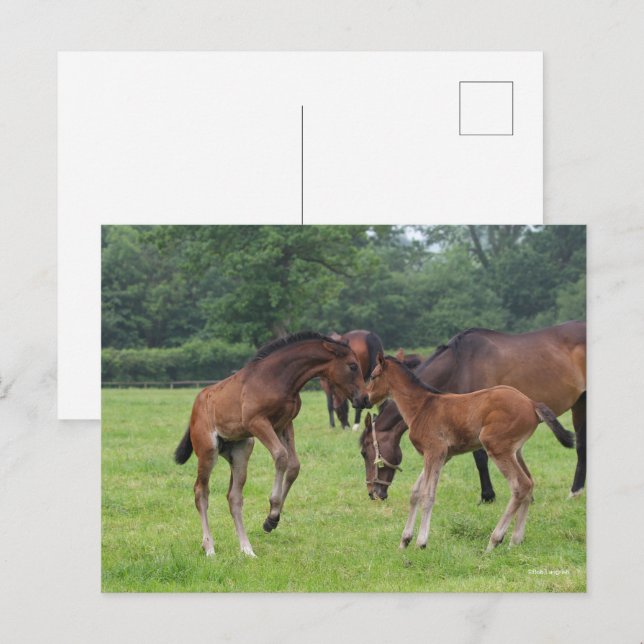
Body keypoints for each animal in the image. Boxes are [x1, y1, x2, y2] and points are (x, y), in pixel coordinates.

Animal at [174, 331, 371, 557]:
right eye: (353, 366)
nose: (365, 399)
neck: (277, 378)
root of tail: (195, 407)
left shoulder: (284, 424)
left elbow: (293, 466)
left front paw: (271, 520)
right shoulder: (257, 422)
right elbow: (280, 456)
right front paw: (273, 511)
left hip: (241, 450)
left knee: (234, 497)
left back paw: (247, 549)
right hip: (208, 451)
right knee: (201, 492)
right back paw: (209, 547)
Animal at [359, 321, 586, 501]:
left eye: (364, 452)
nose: (372, 493)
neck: (460, 364)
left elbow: (480, 458)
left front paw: (487, 495)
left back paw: (575, 491)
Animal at [366, 354, 575, 551]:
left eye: (373, 375)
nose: (367, 398)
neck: (422, 407)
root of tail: (532, 403)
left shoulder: (434, 451)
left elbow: (428, 495)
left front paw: (421, 542)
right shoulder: (443, 455)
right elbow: (415, 492)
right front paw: (404, 541)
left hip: (496, 446)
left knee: (521, 485)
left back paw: (494, 541)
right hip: (516, 451)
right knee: (530, 483)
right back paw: (515, 541)